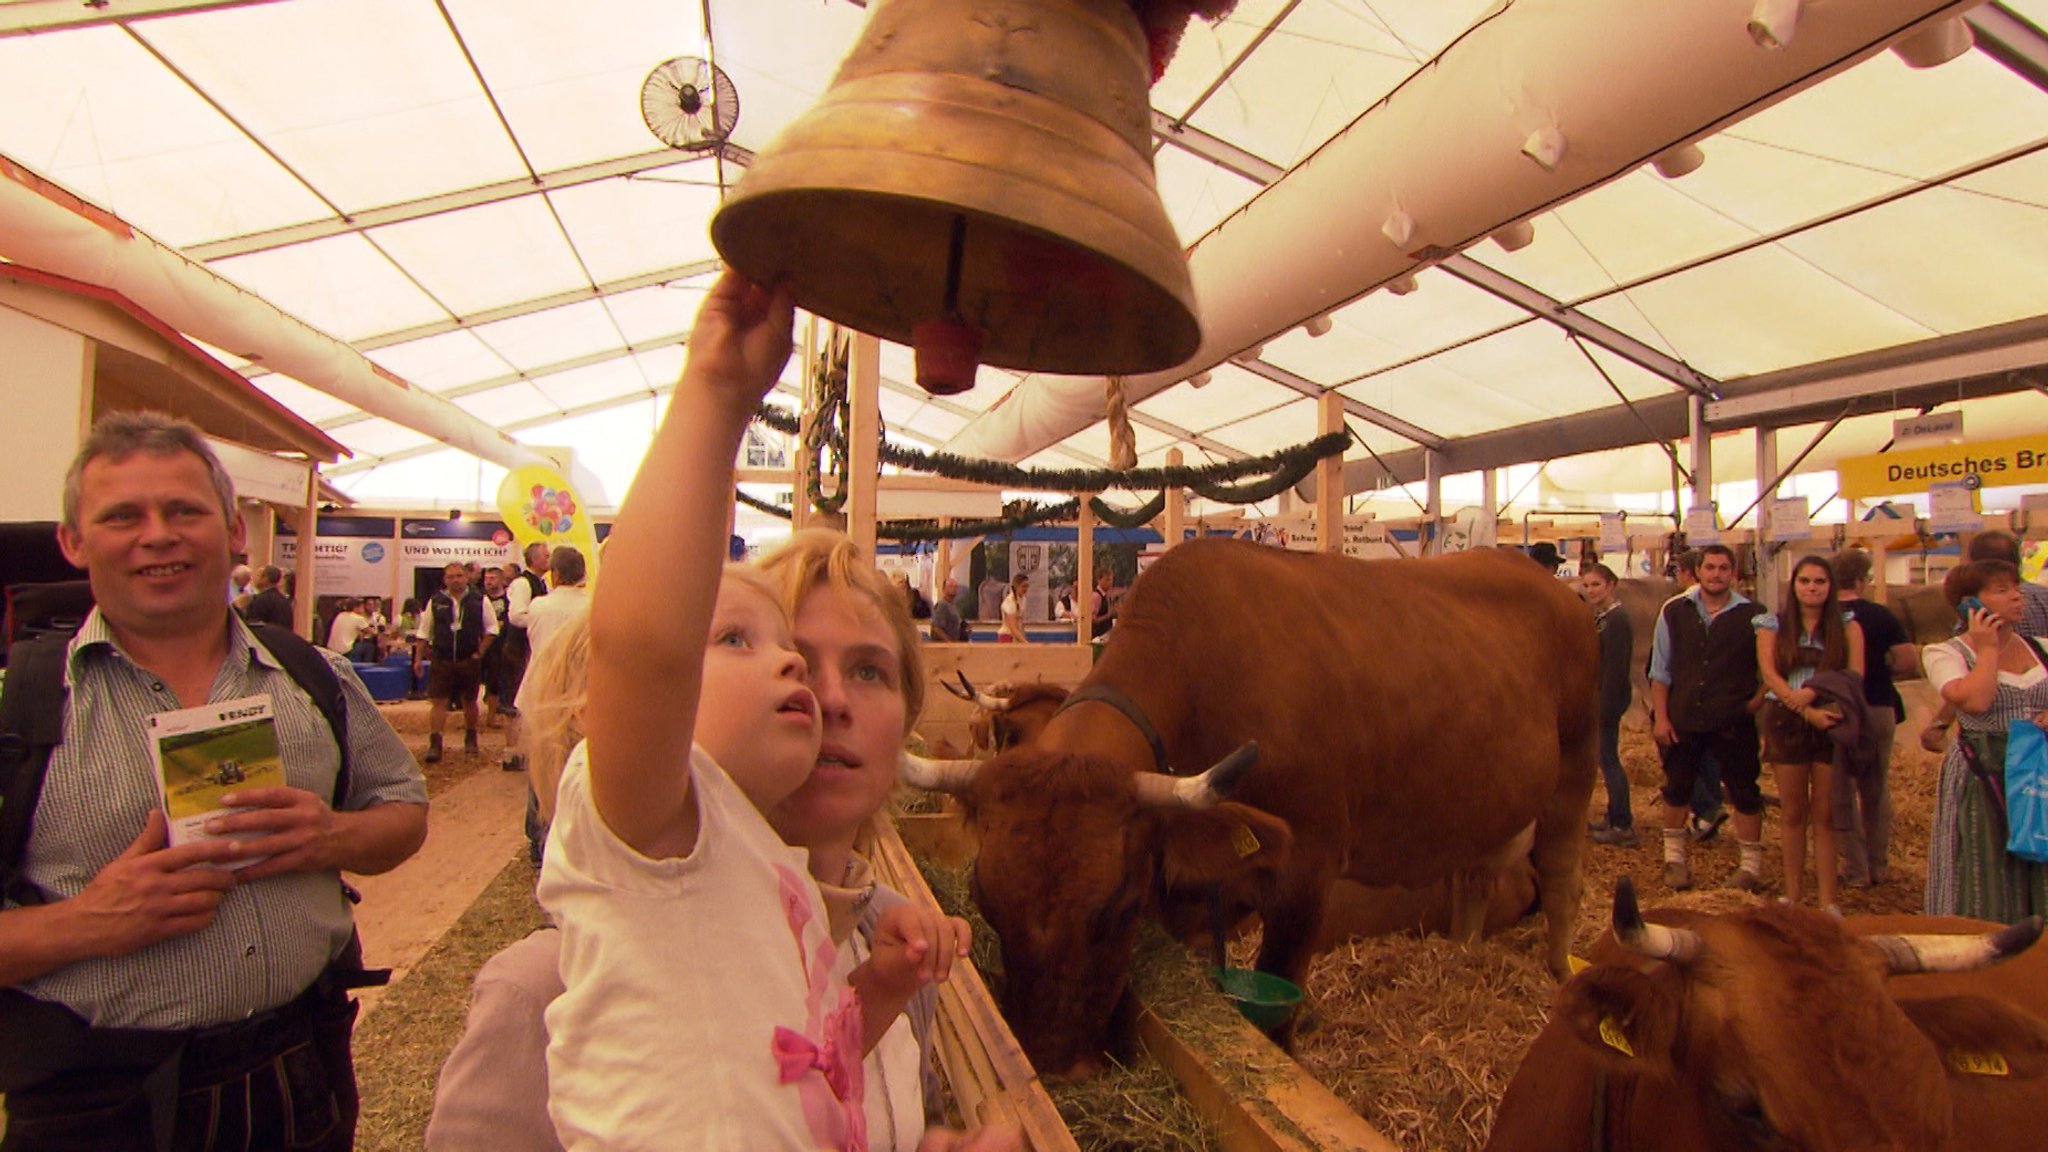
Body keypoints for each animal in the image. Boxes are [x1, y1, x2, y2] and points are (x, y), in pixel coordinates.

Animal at [905, 532, 1589, 1074]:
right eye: (986, 901)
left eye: (1120, 910)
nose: (1054, 1066)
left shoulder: (1307, 872)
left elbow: (1281, 1009)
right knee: (1476, 876)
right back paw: (1465, 956)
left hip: (1574, 772)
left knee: (1561, 878)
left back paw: (1561, 976)